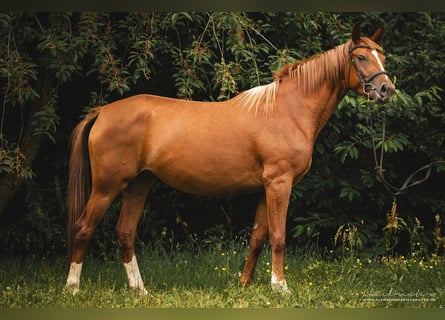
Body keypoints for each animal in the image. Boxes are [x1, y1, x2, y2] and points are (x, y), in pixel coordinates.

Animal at [65, 23, 392, 296]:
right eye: (361, 57)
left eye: (383, 57)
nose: (387, 90)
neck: (287, 111)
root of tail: (103, 112)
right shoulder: (280, 183)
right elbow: (278, 236)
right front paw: (281, 287)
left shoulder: (265, 188)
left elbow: (258, 237)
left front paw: (245, 284)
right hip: (107, 186)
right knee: (83, 228)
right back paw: (73, 288)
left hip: (138, 184)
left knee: (125, 232)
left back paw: (139, 290)